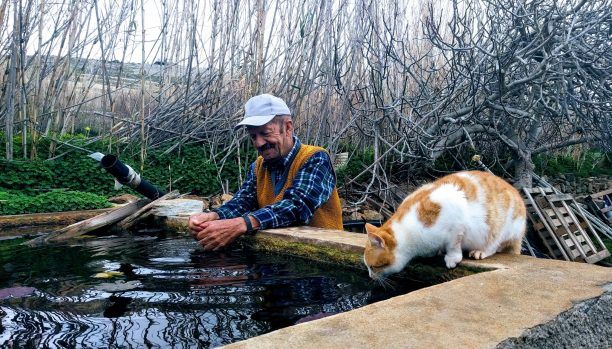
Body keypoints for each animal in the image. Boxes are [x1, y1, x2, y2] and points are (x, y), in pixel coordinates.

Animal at [364, 169, 524, 278]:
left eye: (373, 267)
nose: (370, 276)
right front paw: (436, 251)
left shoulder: (456, 220)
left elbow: (453, 245)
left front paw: (452, 258)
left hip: (502, 228)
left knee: (495, 245)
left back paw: (480, 251)